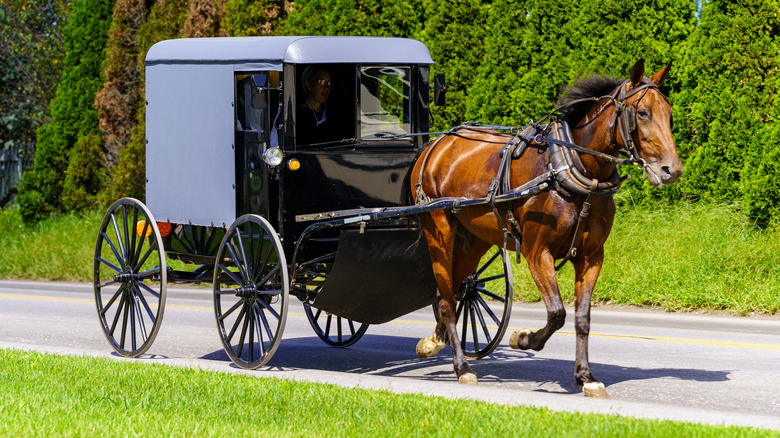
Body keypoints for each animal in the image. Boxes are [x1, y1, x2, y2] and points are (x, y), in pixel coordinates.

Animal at [408, 59, 684, 396]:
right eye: (642, 113)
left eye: (669, 113)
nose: (672, 169)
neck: (570, 167)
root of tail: (437, 144)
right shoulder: (537, 252)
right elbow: (557, 314)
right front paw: (523, 338)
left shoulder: (591, 256)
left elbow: (582, 318)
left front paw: (586, 377)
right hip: (439, 231)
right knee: (447, 299)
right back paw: (462, 367)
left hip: (475, 239)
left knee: (453, 289)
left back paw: (435, 341)